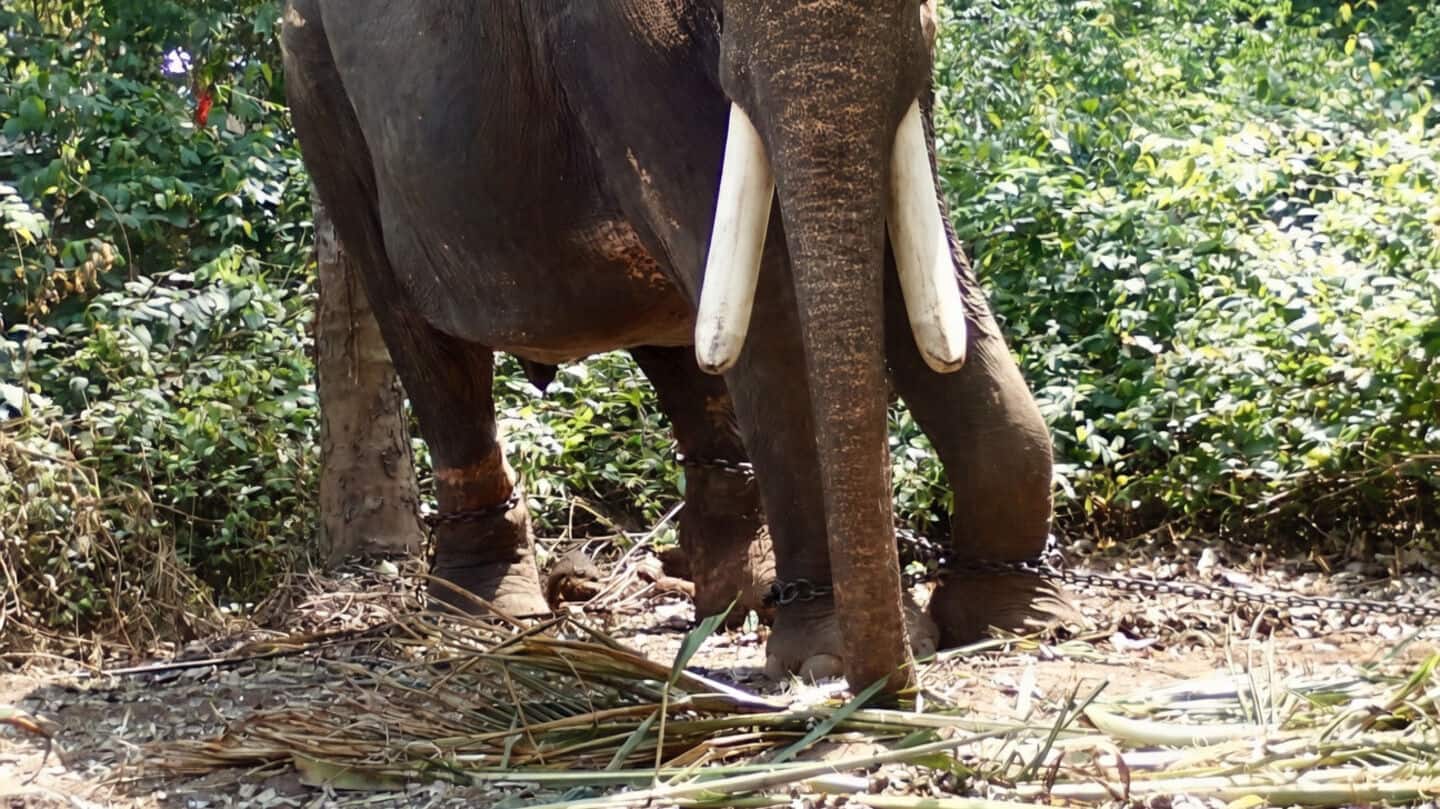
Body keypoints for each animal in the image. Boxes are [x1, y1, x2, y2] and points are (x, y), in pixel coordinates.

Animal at [281, 0, 1057, 693]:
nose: (892, 684)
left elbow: (922, 269)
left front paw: (1015, 620)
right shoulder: (615, 50)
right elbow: (774, 298)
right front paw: (827, 654)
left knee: (678, 335)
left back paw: (736, 593)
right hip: (318, 91)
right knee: (425, 340)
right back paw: (486, 610)